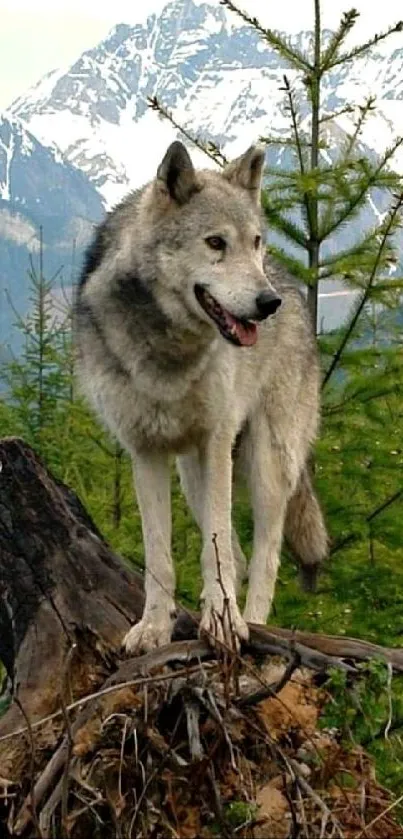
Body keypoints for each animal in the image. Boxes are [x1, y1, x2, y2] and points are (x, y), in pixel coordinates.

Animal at [75, 139, 328, 656]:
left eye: (255, 241)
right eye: (215, 243)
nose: (268, 304)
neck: (168, 349)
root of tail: (290, 283)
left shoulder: (216, 440)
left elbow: (217, 551)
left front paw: (224, 625)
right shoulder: (145, 452)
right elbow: (159, 555)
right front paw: (154, 627)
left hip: (265, 464)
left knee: (264, 556)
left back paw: (252, 622)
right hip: (193, 474)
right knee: (235, 551)